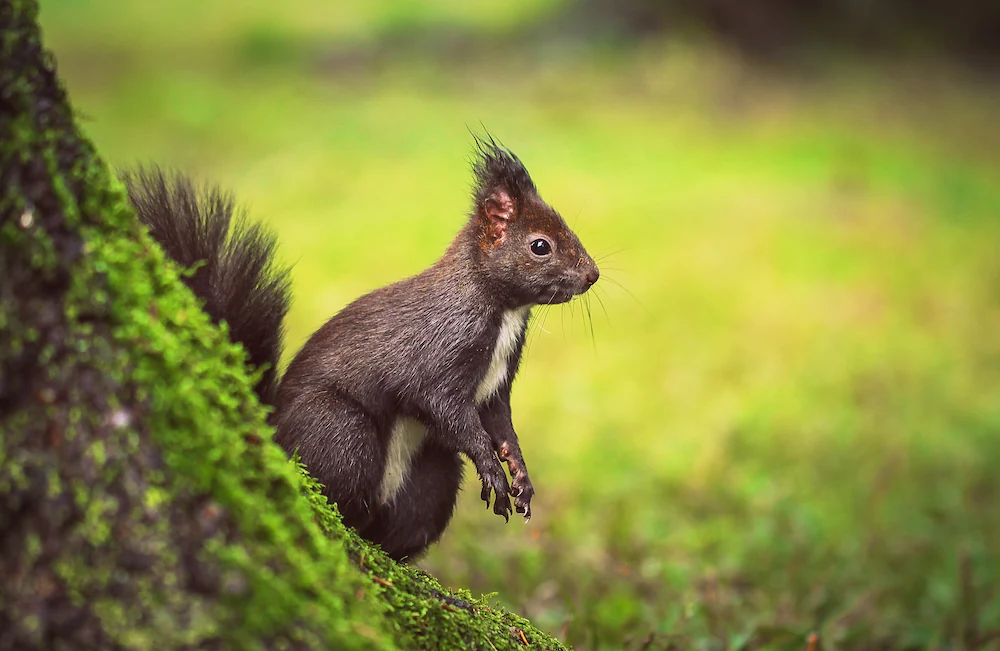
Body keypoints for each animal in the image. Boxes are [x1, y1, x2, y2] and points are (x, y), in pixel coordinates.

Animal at [123, 135, 599, 560]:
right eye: (540, 245)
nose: (592, 275)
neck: (503, 311)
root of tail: (270, 428)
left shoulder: (496, 386)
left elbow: (501, 425)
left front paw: (519, 474)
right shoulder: (436, 354)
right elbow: (445, 409)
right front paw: (491, 469)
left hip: (433, 477)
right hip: (339, 430)